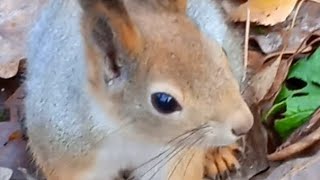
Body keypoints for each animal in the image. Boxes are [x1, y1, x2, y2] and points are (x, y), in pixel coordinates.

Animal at [25, 0, 254, 180]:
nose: (245, 124)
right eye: (163, 101)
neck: (129, 132)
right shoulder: (66, 153)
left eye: (221, 52)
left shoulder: (174, 157)